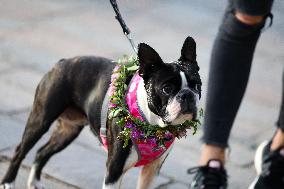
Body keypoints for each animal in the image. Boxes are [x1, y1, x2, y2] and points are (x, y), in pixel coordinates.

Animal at [0, 36, 201, 189]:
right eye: (167, 88)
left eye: (197, 85)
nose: (187, 95)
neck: (152, 125)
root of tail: (62, 62)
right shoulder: (114, 169)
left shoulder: (152, 171)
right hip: (41, 119)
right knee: (21, 150)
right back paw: (8, 182)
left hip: (68, 131)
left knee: (42, 152)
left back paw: (34, 182)